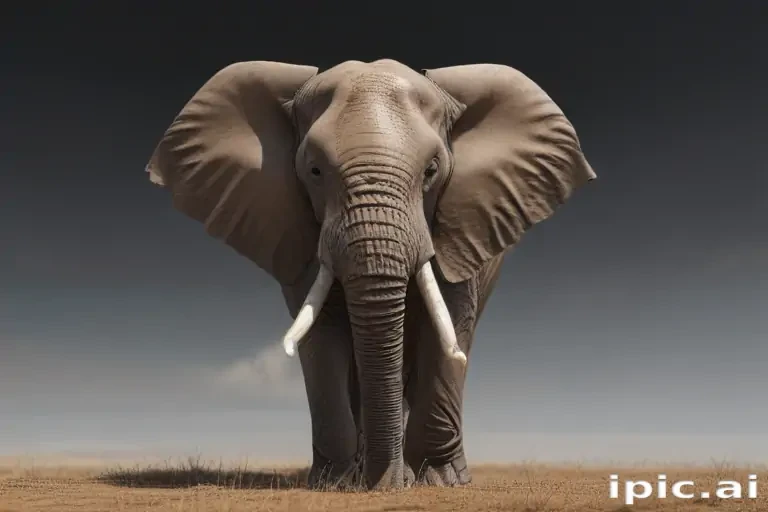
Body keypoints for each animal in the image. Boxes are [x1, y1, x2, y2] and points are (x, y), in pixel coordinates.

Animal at [145, 59, 596, 490]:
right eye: (314, 171)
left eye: (432, 170)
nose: (386, 486)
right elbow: (322, 334)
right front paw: (335, 483)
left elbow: (446, 326)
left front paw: (439, 481)